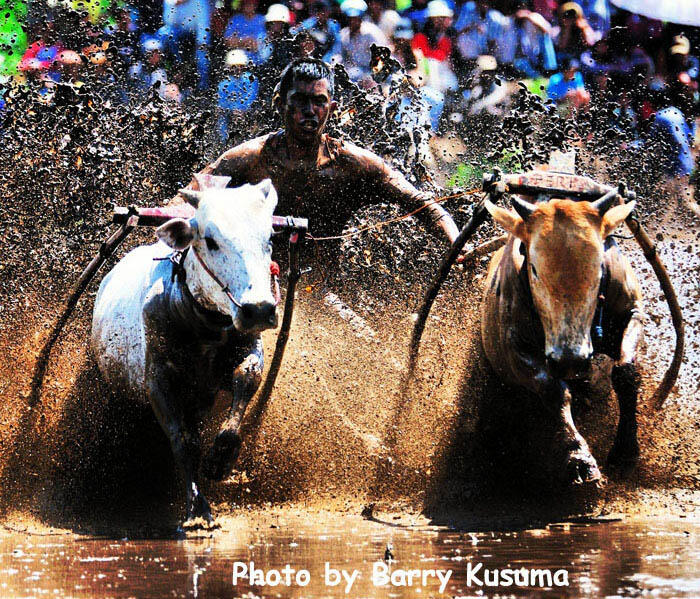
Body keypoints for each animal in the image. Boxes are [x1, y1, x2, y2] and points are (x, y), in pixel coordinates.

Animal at [91, 179, 280, 524]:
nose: (259, 309)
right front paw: (198, 507)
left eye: (270, 238)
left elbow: (242, 390)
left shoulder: (248, 351)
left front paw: (219, 460)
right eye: (211, 240)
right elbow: (184, 441)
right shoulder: (159, 381)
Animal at [484, 195, 644, 486]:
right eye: (534, 268)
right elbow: (553, 390)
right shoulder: (515, 347)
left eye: (599, 265)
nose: (571, 360)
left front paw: (626, 451)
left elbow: (626, 372)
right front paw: (581, 459)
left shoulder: (633, 310)